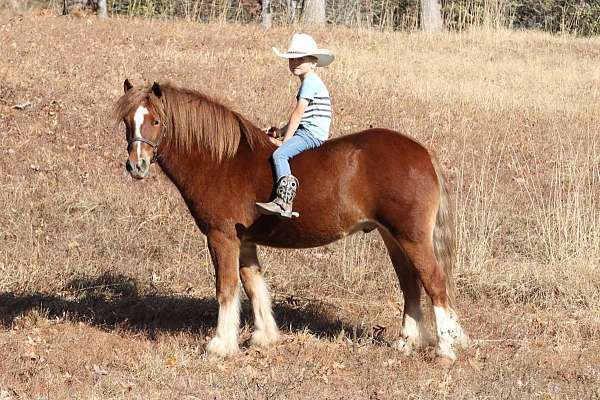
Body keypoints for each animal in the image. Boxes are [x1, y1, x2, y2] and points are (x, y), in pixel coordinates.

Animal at [112, 79, 468, 360]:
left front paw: (220, 345)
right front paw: (264, 337)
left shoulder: (221, 236)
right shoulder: (245, 241)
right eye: (128, 120)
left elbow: (227, 288)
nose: (136, 165)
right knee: (410, 284)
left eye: (156, 121)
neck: (220, 160)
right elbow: (253, 285)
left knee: (434, 282)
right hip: (392, 237)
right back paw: (407, 342)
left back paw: (445, 349)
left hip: (412, 236)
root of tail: (422, 153)